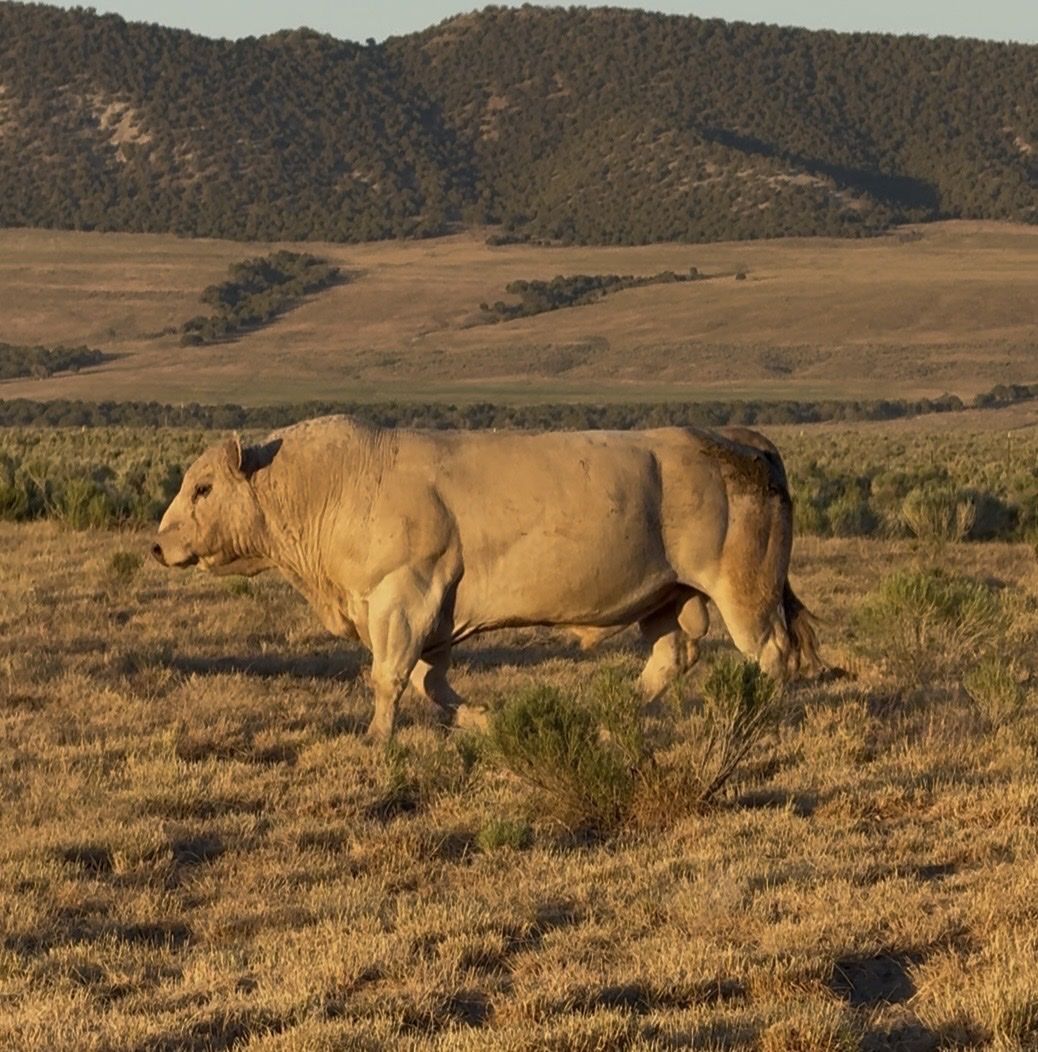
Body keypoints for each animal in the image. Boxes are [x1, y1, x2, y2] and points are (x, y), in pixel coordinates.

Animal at [152, 415, 817, 740]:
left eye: (203, 487)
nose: (158, 545)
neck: (334, 482)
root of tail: (740, 440)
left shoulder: (405, 598)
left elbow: (390, 679)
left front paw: (376, 738)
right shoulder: (435, 620)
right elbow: (432, 687)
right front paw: (485, 720)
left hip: (745, 591)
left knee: (774, 654)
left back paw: (760, 715)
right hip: (668, 597)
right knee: (671, 657)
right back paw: (614, 719)